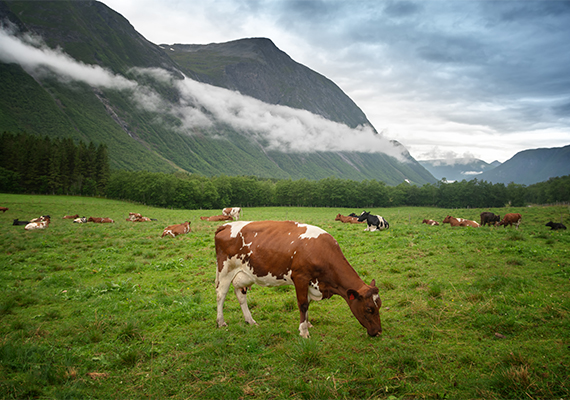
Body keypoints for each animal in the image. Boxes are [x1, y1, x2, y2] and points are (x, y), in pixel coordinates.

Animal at [213, 220, 382, 340]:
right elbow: (303, 304)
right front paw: (304, 331)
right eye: (369, 309)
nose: (379, 332)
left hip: (243, 274)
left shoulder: (311, 283)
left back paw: (250, 320)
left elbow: (308, 303)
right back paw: (221, 322)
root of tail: (226, 225)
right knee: (221, 295)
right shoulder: (300, 277)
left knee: (241, 295)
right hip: (225, 270)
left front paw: (307, 323)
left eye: (379, 305)